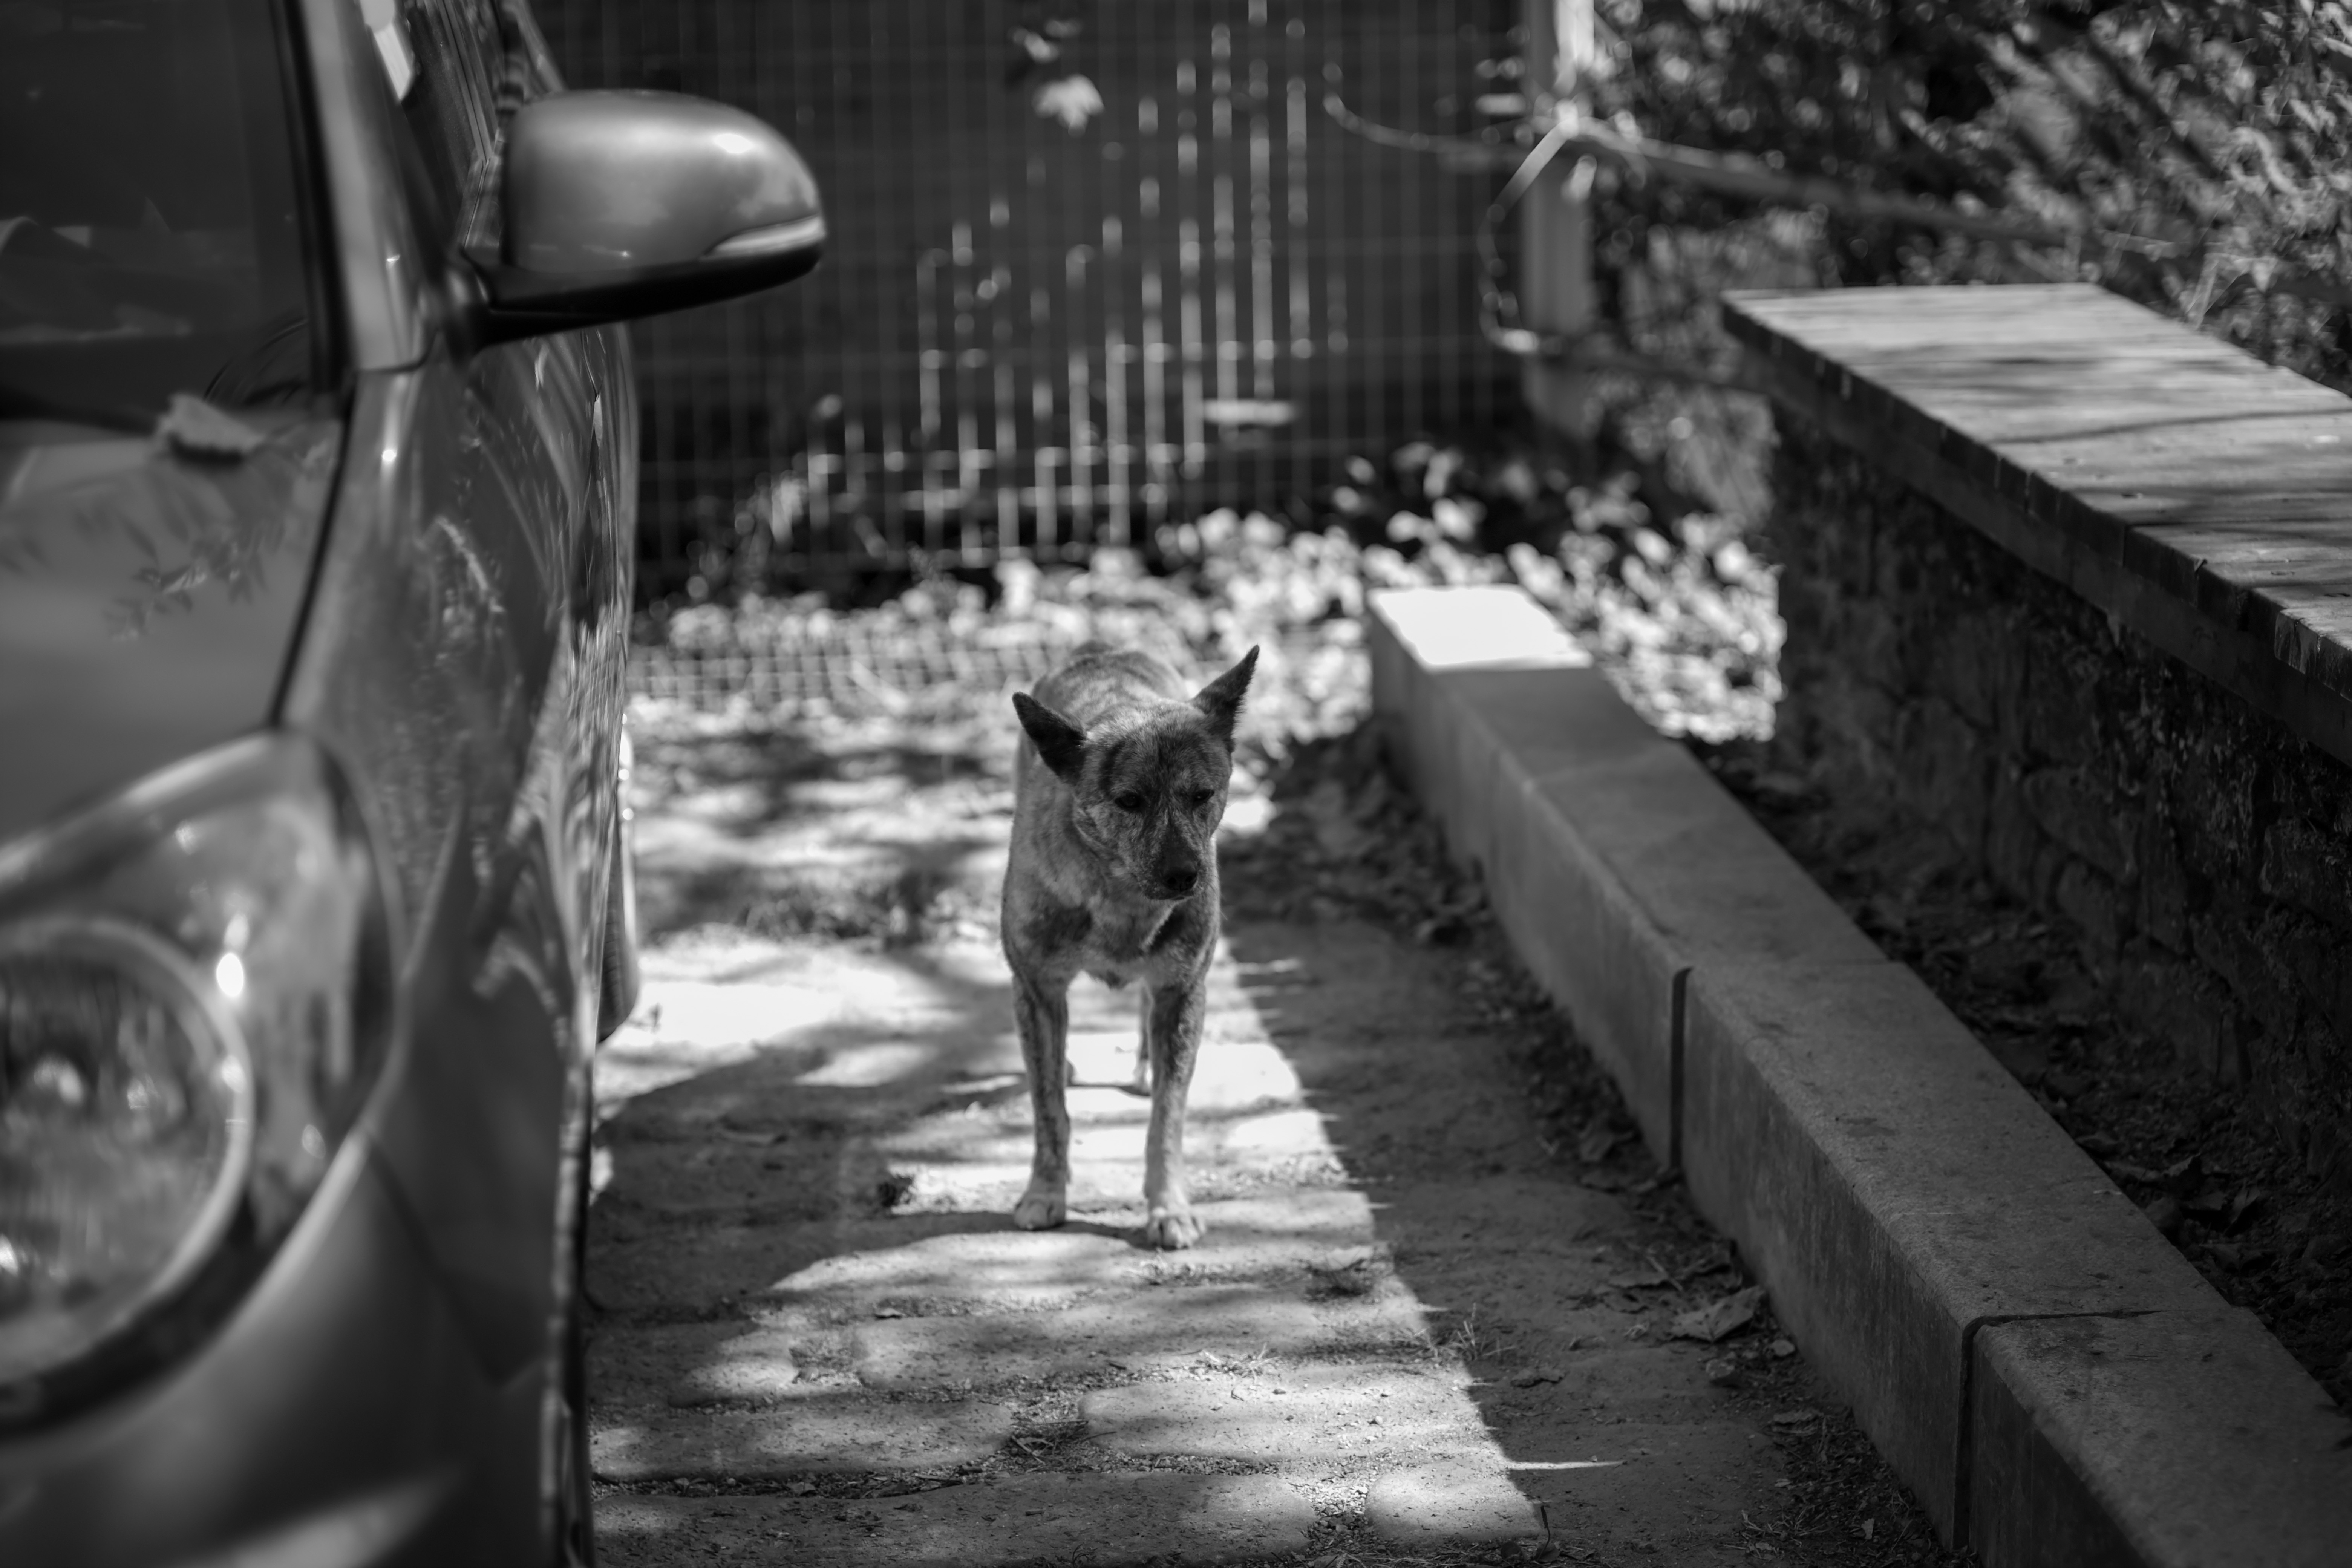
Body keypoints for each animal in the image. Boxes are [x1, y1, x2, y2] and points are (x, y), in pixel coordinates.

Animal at [1000, 642, 1259, 1249]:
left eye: (1202, 795)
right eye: (1130, 801)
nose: (1185, 876)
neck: (1121, 896)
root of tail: (1102, 646)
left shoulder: (1183, 992)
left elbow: (1168, 1116)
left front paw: (1169, 1207)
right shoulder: (1037, 988)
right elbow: (1048, 1108)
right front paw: (1045, 1192)